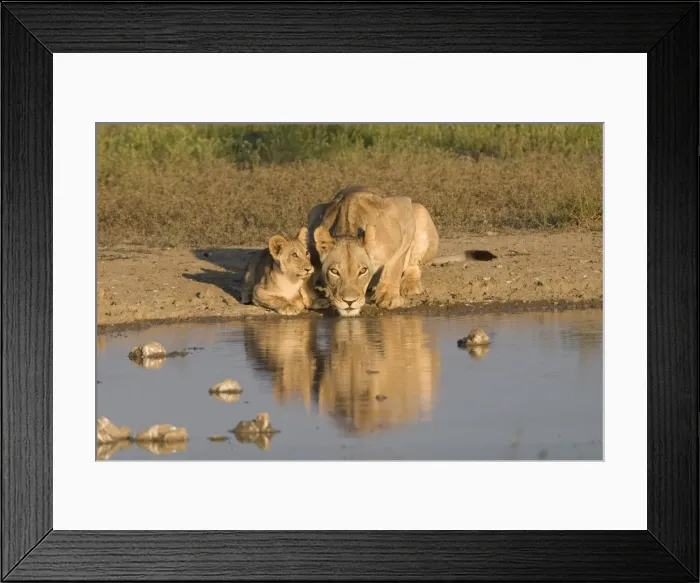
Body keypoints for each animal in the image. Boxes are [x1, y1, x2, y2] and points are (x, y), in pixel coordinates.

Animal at [307, 185, 495, 316]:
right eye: (334, 271)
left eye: (362, 271)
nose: (349, 302)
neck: (348, 229)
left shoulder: (403, 208)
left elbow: (395, 264)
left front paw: (389, 297)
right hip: (315, 209)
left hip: (420, 211)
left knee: (414, 264)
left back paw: (409, 285)